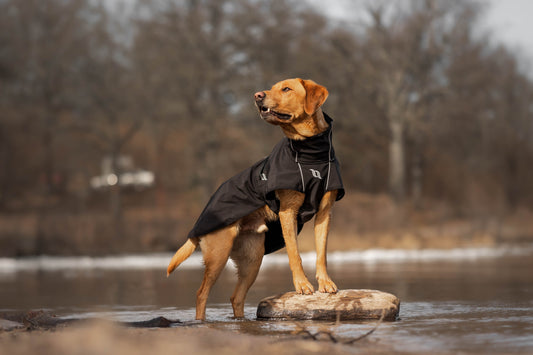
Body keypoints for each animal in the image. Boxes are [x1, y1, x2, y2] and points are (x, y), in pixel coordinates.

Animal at [166, 79, 344, 322]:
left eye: (286, 89)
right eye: (273, 87)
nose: (257, 95)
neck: (310, 155)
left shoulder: (325, 212)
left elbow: (322, 252)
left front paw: (326, 283)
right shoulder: (287, 212)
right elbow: (294, 254)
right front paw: (302, 285)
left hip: (253, 259)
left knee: (236, 297)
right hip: (219, 253)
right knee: (201, 294)